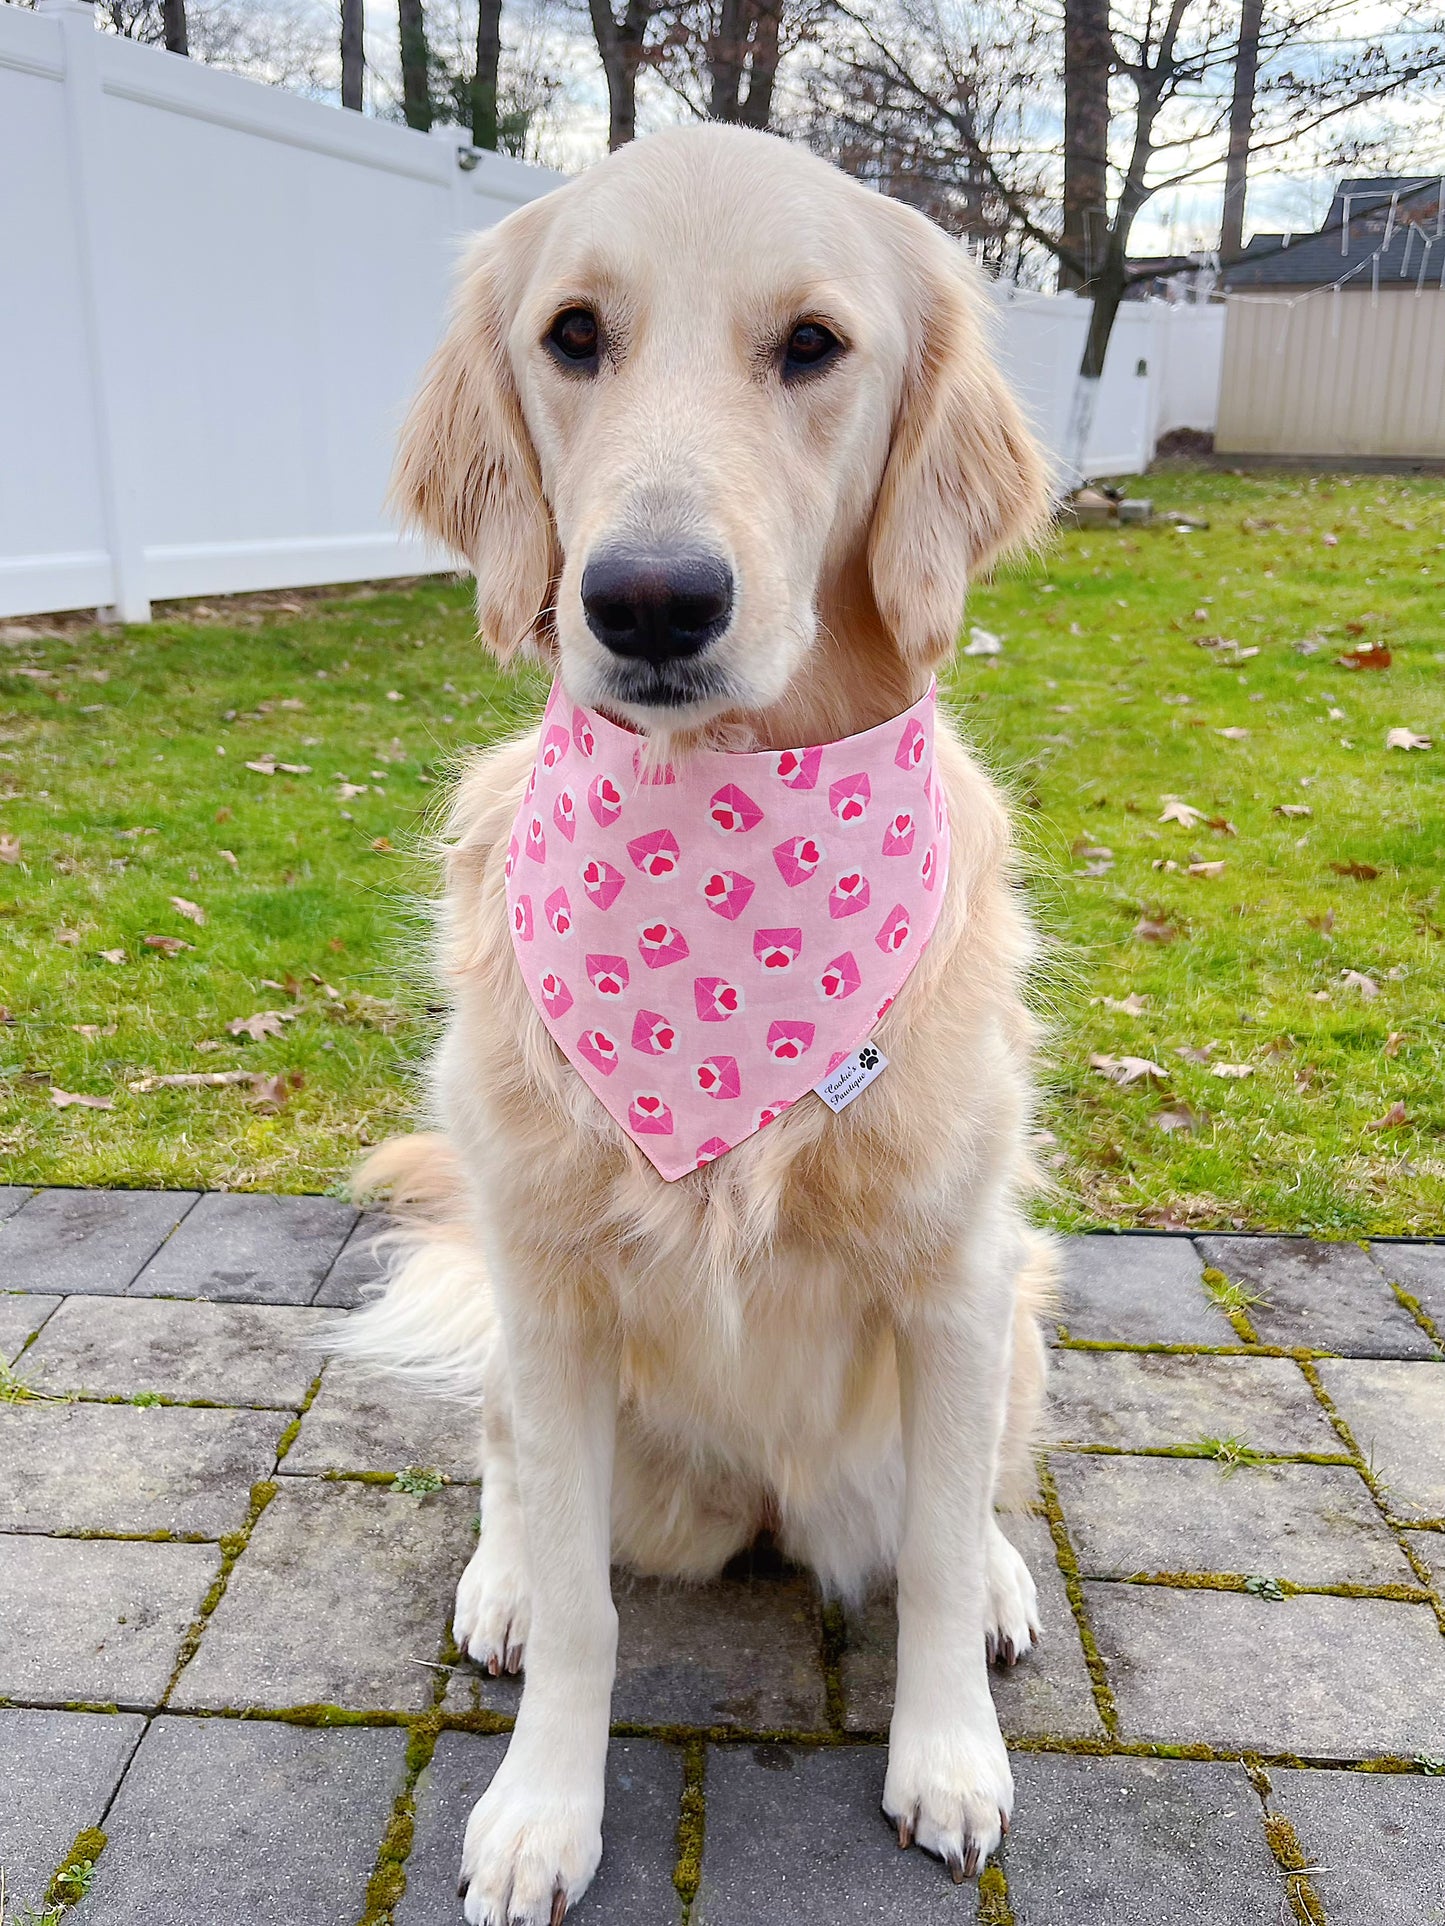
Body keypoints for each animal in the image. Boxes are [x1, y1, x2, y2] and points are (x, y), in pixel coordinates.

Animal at [344, 124, 1055, 1926]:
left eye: (812, 344)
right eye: (574, 335)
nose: (650, 600)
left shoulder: (958, 1275)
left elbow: (932, 1542)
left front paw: (947, 1754)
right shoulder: (554, 1288)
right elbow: (584, 1609)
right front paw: (541, 1810)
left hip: (1024, 1302)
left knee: (970, 1494)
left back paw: (1005, 1578)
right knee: (514, 1472)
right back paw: (499, 1582)